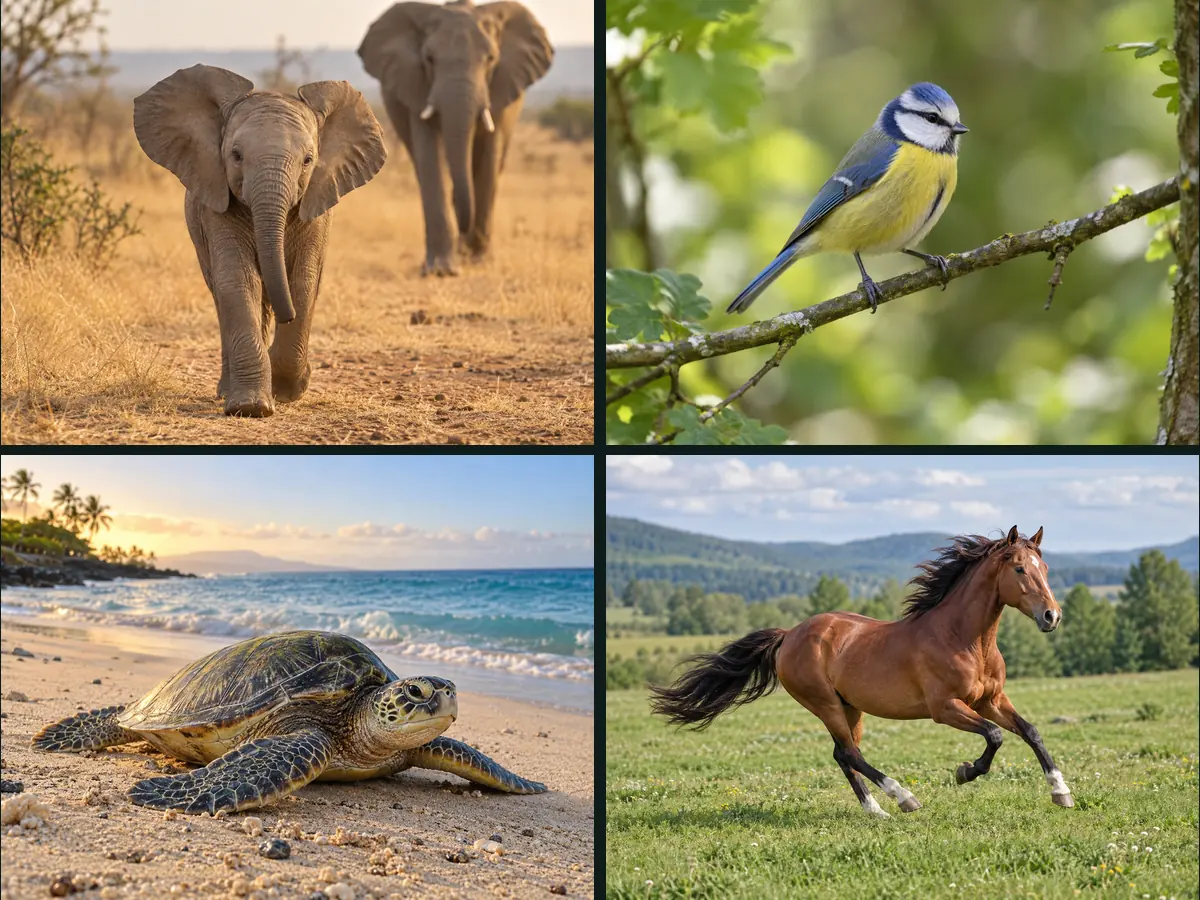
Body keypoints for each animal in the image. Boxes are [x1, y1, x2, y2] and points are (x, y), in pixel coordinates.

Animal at [133, 66, 387, 417]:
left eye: (308, 160)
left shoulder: (317, 206)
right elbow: (237, 279)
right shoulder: (215, 202)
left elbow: (304, 281)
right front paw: (251, 407)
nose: (286, 315)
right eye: (236, 156)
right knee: (221, 294)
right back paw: (227, 390)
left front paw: (287, 390)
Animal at [358, 1, 553, 276]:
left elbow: (489, 156)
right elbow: (430, 155)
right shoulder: (417, 85)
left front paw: (478, 261)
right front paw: (440, 270)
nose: (464, 233)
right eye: (429, 59)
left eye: (490, 59)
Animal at [649, 526, 1075, 817]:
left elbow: (1030, 732)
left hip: (850, 707)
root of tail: (789, 635)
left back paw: (877, 810)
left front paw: (1061, 793)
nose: (1052, 616)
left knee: (843, 754)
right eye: (1019, 569)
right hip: (824, 704)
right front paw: (965, 772)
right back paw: (903, 798)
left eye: (1044, 567)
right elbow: (995, 736)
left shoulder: (990, 700)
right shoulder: (945, 708)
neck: (963, 639)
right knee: (850, 753)